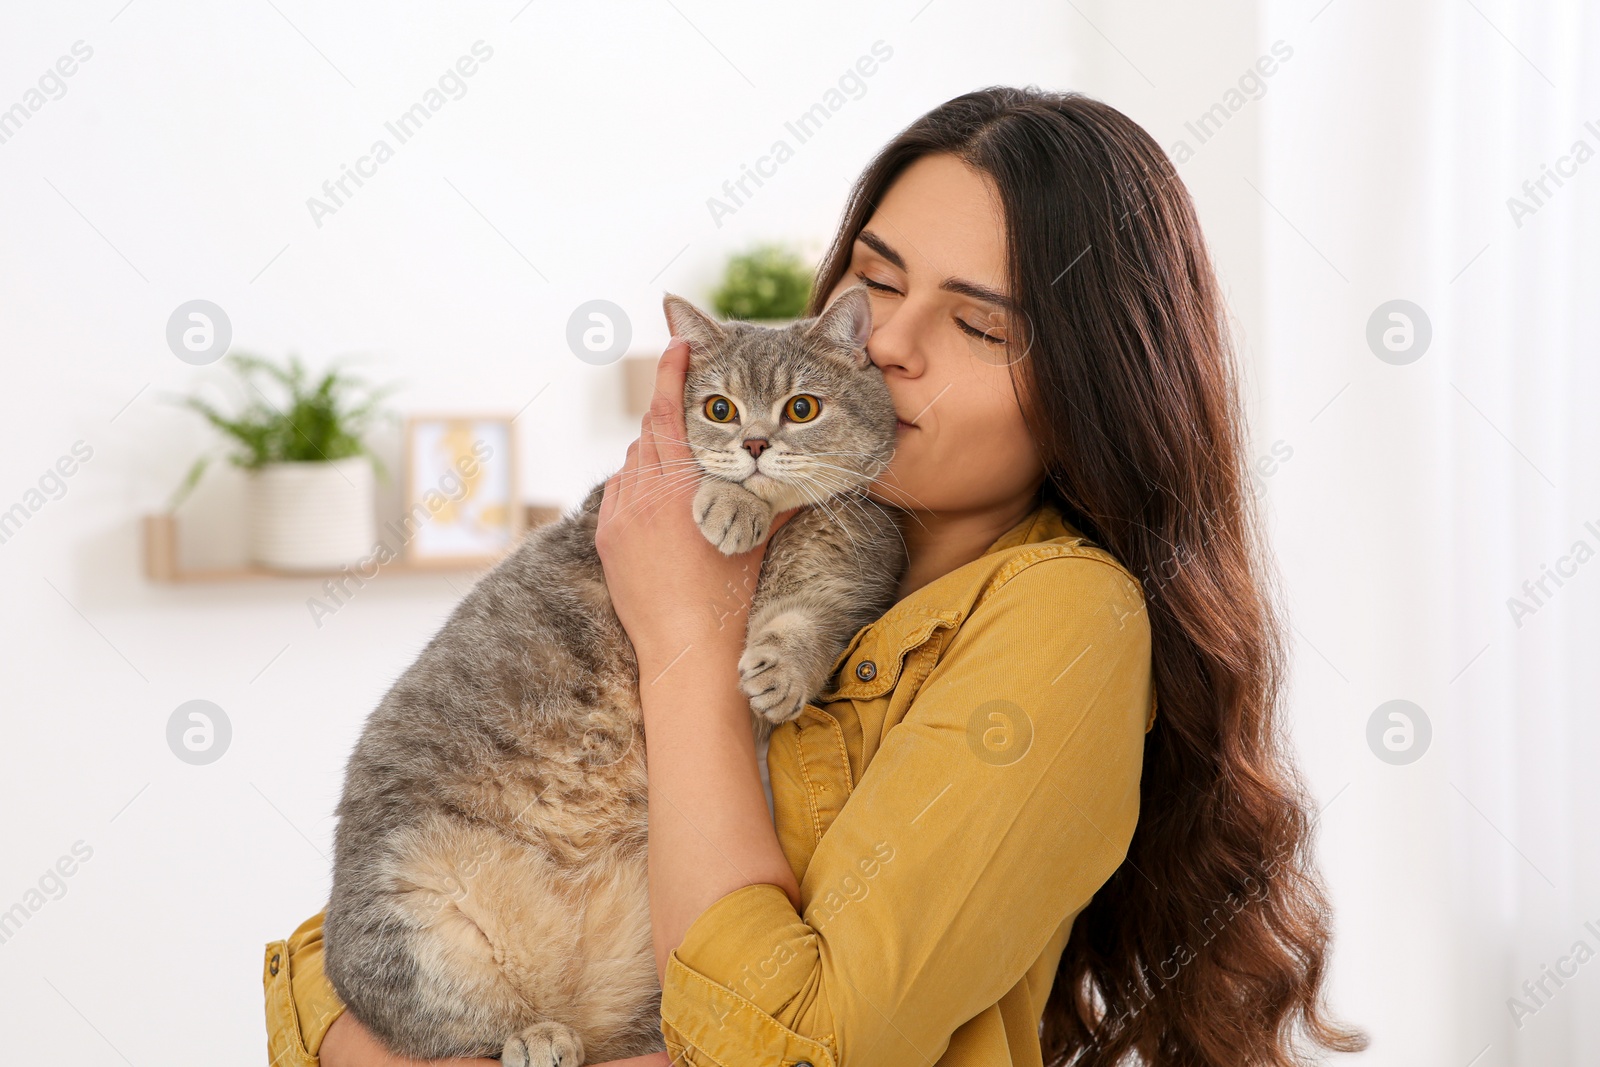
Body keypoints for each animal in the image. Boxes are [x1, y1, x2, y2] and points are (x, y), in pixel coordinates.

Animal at [321, 286, 915, 1067]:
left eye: (802, 407)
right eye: (720, 408)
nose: (756, 445)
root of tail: (573, 1005)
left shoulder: (855, 566)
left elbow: (805, 622)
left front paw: (780, 673)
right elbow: (708, 485)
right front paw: (732, 502)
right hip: (412, 912)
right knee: (461, 1032)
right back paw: (535, 1035)